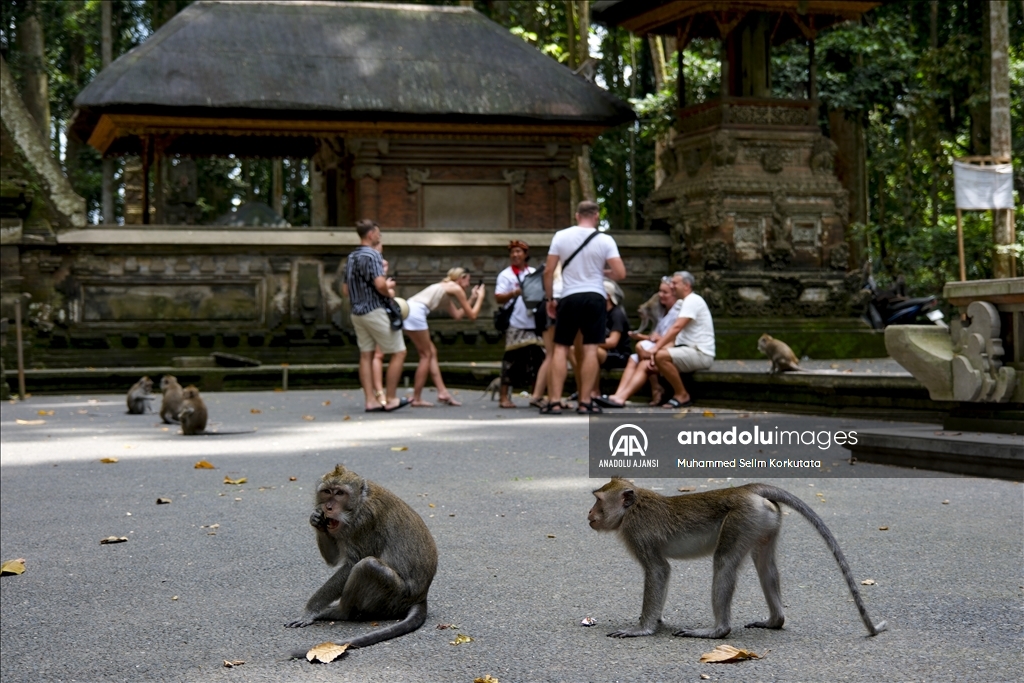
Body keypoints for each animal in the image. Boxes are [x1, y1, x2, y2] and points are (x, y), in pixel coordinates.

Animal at [286, 464, 438, 655]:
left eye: (340, 493)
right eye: (327, 492)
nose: (328, 507)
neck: (359, 503)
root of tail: (420, 596)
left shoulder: (365, 522)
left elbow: (352, 564)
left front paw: (309, 610)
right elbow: (334, 560)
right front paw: (316, 520)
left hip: (395, 597)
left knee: (367, 565)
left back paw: (339, 612)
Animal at [589, 481, 884, 643]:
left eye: (598, 500)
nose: (589, 513)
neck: (632, 508)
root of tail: (746, 489)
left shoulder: (637, 533)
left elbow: (659, 570)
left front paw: (642, 629)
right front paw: (655, 620)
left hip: (742, 518)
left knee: (724, 562)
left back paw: (717, 631)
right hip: (763, 520)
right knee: (764, 565)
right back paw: (775, 620)